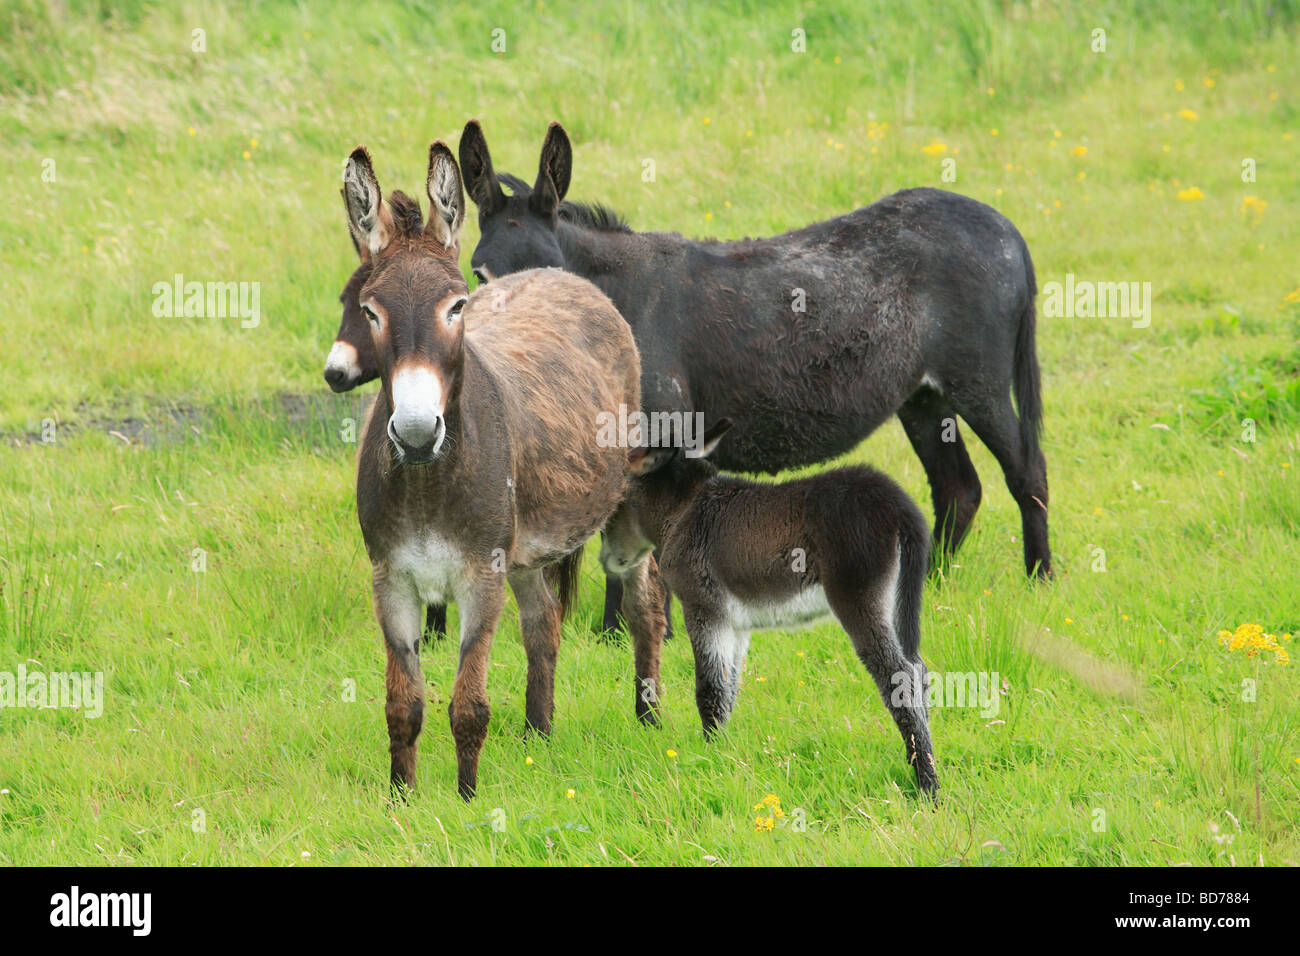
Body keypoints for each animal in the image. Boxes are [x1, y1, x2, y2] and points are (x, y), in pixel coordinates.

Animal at [603, 421, 941, 796]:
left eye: (615, 505)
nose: (607, 563)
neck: (684, 510)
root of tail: (901, 508)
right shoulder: (735, 623)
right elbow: (728, 688)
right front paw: (722, 754)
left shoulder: (703, 609)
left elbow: (709, 688)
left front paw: (707, 757)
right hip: (897, 602)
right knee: (919, 672)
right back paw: (921, 764)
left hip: (859, 599)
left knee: (901, 676)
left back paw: (927, 786)